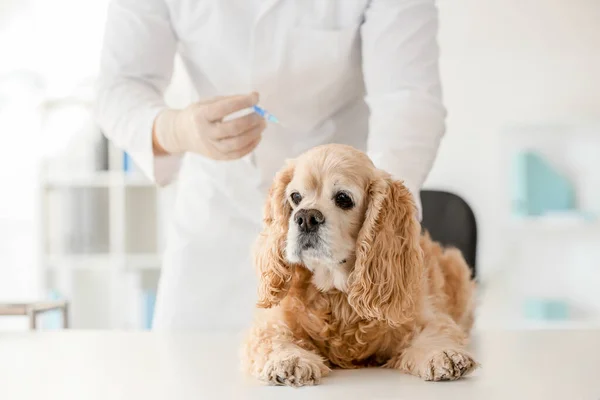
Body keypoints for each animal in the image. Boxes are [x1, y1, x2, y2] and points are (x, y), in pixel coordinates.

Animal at [240, 142, 478, 386]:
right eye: (295, 197)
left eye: (343, 198)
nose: (305, 217)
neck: (336, 292)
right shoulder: (271, 323)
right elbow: (274, 338)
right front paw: (290, 359)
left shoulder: (423, 316)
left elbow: (435, 332)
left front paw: (443, 354)